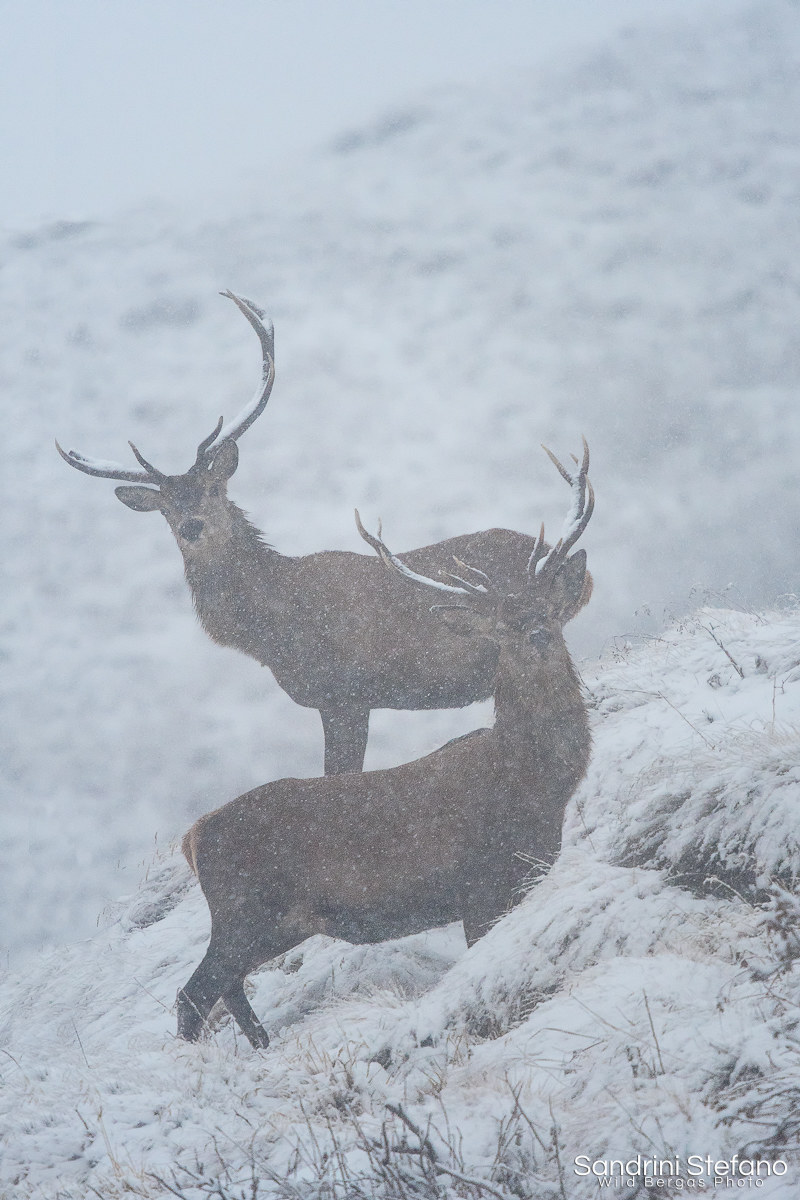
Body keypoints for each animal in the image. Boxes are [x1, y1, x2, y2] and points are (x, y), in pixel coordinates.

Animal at [57, 291, 591, 775]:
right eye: (165, 509)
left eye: (213, 487)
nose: (192, 525)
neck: (274, 629)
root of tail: (579, 571)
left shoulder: (346, 694)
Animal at [175, 442, 594, 1047]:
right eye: (499, 626)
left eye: (546, 610)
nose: (536, 634)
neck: (531, 782)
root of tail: (192, 838)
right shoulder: (478, 883)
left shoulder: (534, 866)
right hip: (244, 913)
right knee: (192, 996)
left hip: (264, 925)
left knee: (222, 990)